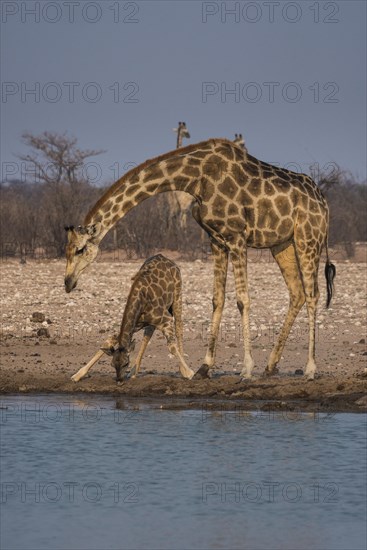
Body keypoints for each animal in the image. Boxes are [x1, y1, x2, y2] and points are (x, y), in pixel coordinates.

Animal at [64, 139, 336, 380]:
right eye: (66, 250)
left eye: (80, 249)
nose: (68, 283)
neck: (195, 179)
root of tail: (324, 202)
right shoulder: (216, 239)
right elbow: (217, 299)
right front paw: (204, 368)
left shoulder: (237, 236)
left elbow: (243, 299)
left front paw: (246, 369)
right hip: (282, 244)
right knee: (297, 292)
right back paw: (270, 367)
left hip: (308, 238)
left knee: (312, 294)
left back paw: (310, 369)